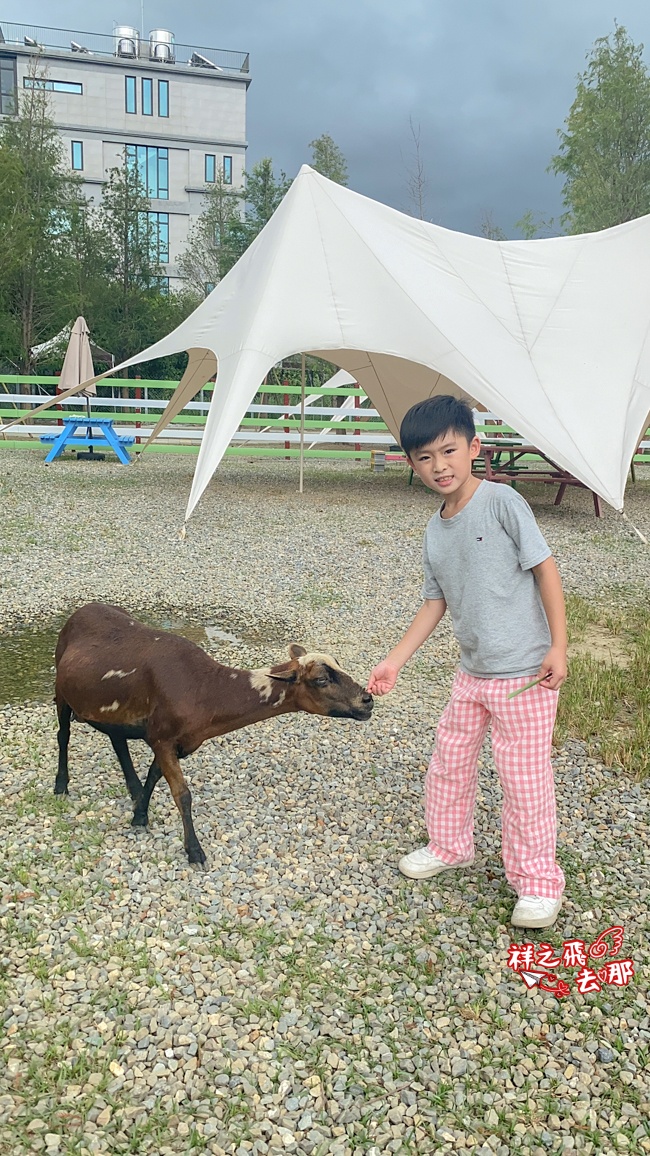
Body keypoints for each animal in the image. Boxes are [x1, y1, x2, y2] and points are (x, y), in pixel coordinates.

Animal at [54, 605, 374, 860]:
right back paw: (61, 786)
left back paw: (131, 788)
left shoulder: (175, 741)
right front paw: (194, 851)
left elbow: (154, 777)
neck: (206, 691)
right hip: (61, 689)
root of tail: (83, 609)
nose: (367, 700)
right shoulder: (162, 737)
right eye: (321, 680)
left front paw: (140, 814)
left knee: (117, 739)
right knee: (63, 735)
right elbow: (182, 794)